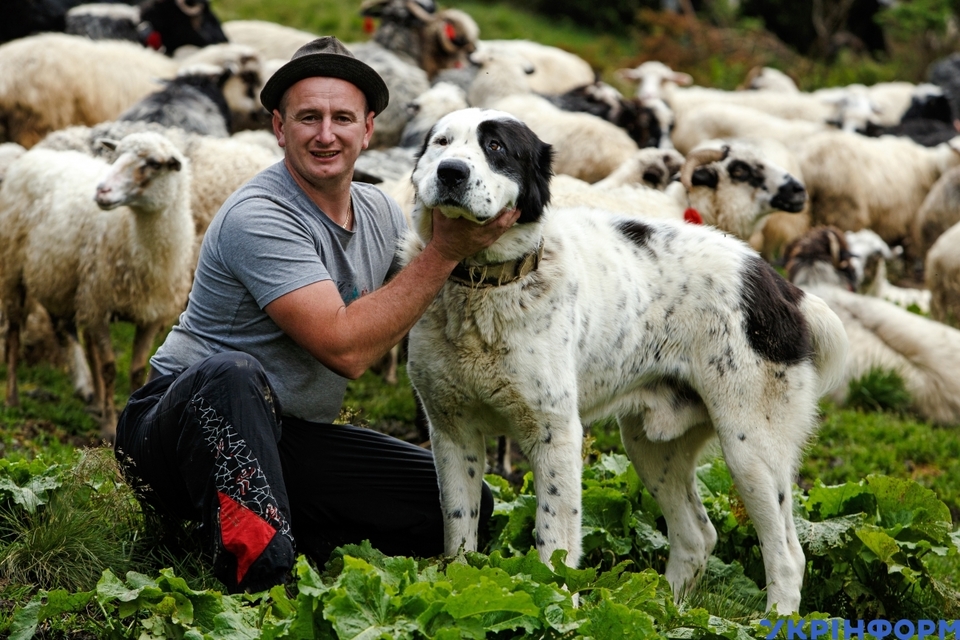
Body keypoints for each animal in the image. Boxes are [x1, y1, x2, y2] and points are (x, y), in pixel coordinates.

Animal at [0, 132, 195, 438]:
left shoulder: (149, 315)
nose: (101, 192)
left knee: (73, 334)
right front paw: (108, 427)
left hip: (65, 281)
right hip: (13, 272)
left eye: (153, 164)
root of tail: (33, 154)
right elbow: (109, 367)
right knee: (13, 334)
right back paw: (13, 398)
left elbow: (136, 370)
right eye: (115, 156)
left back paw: (92, 397)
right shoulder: (100, 306)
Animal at [398, 107, 848, 612]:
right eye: (441, 142)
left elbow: (554, 542)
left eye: (495, 147)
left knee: (787, 555)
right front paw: (460, 587)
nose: (451, 172)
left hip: (751, 449)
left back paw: (772, 618)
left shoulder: (555, 435)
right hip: (652, 447)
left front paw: (556, 606)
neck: (482, 286)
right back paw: (660, 608)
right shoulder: (451, 433)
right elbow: (459, 532)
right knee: (697, 536)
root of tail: (780, 286)